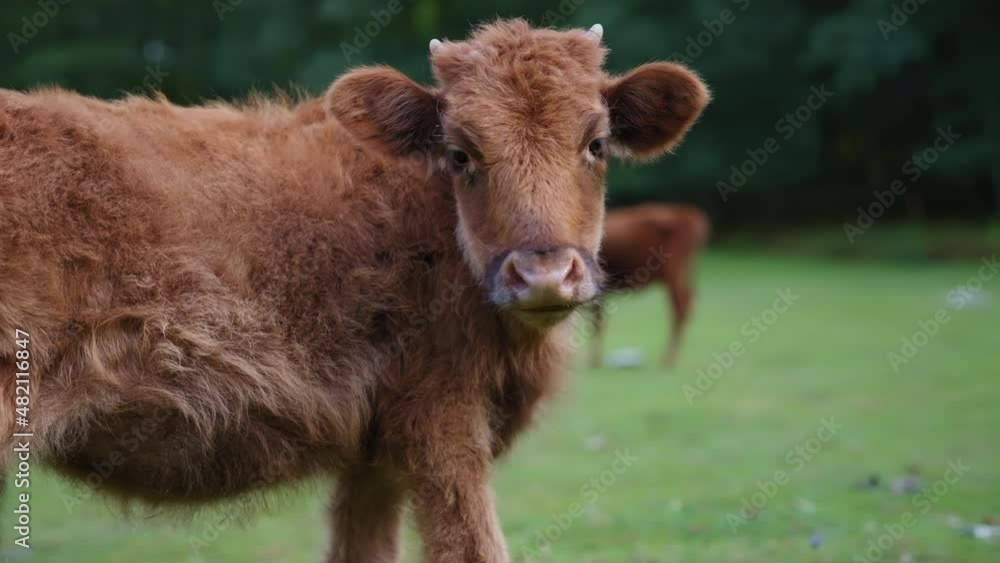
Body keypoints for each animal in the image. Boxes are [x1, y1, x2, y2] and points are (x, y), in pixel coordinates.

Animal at [590, 204, 710, 368]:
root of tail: (687, 214)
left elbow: (598, 322)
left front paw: (594, 361)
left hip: (673, 272)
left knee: (680, 307)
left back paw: (669, 358)